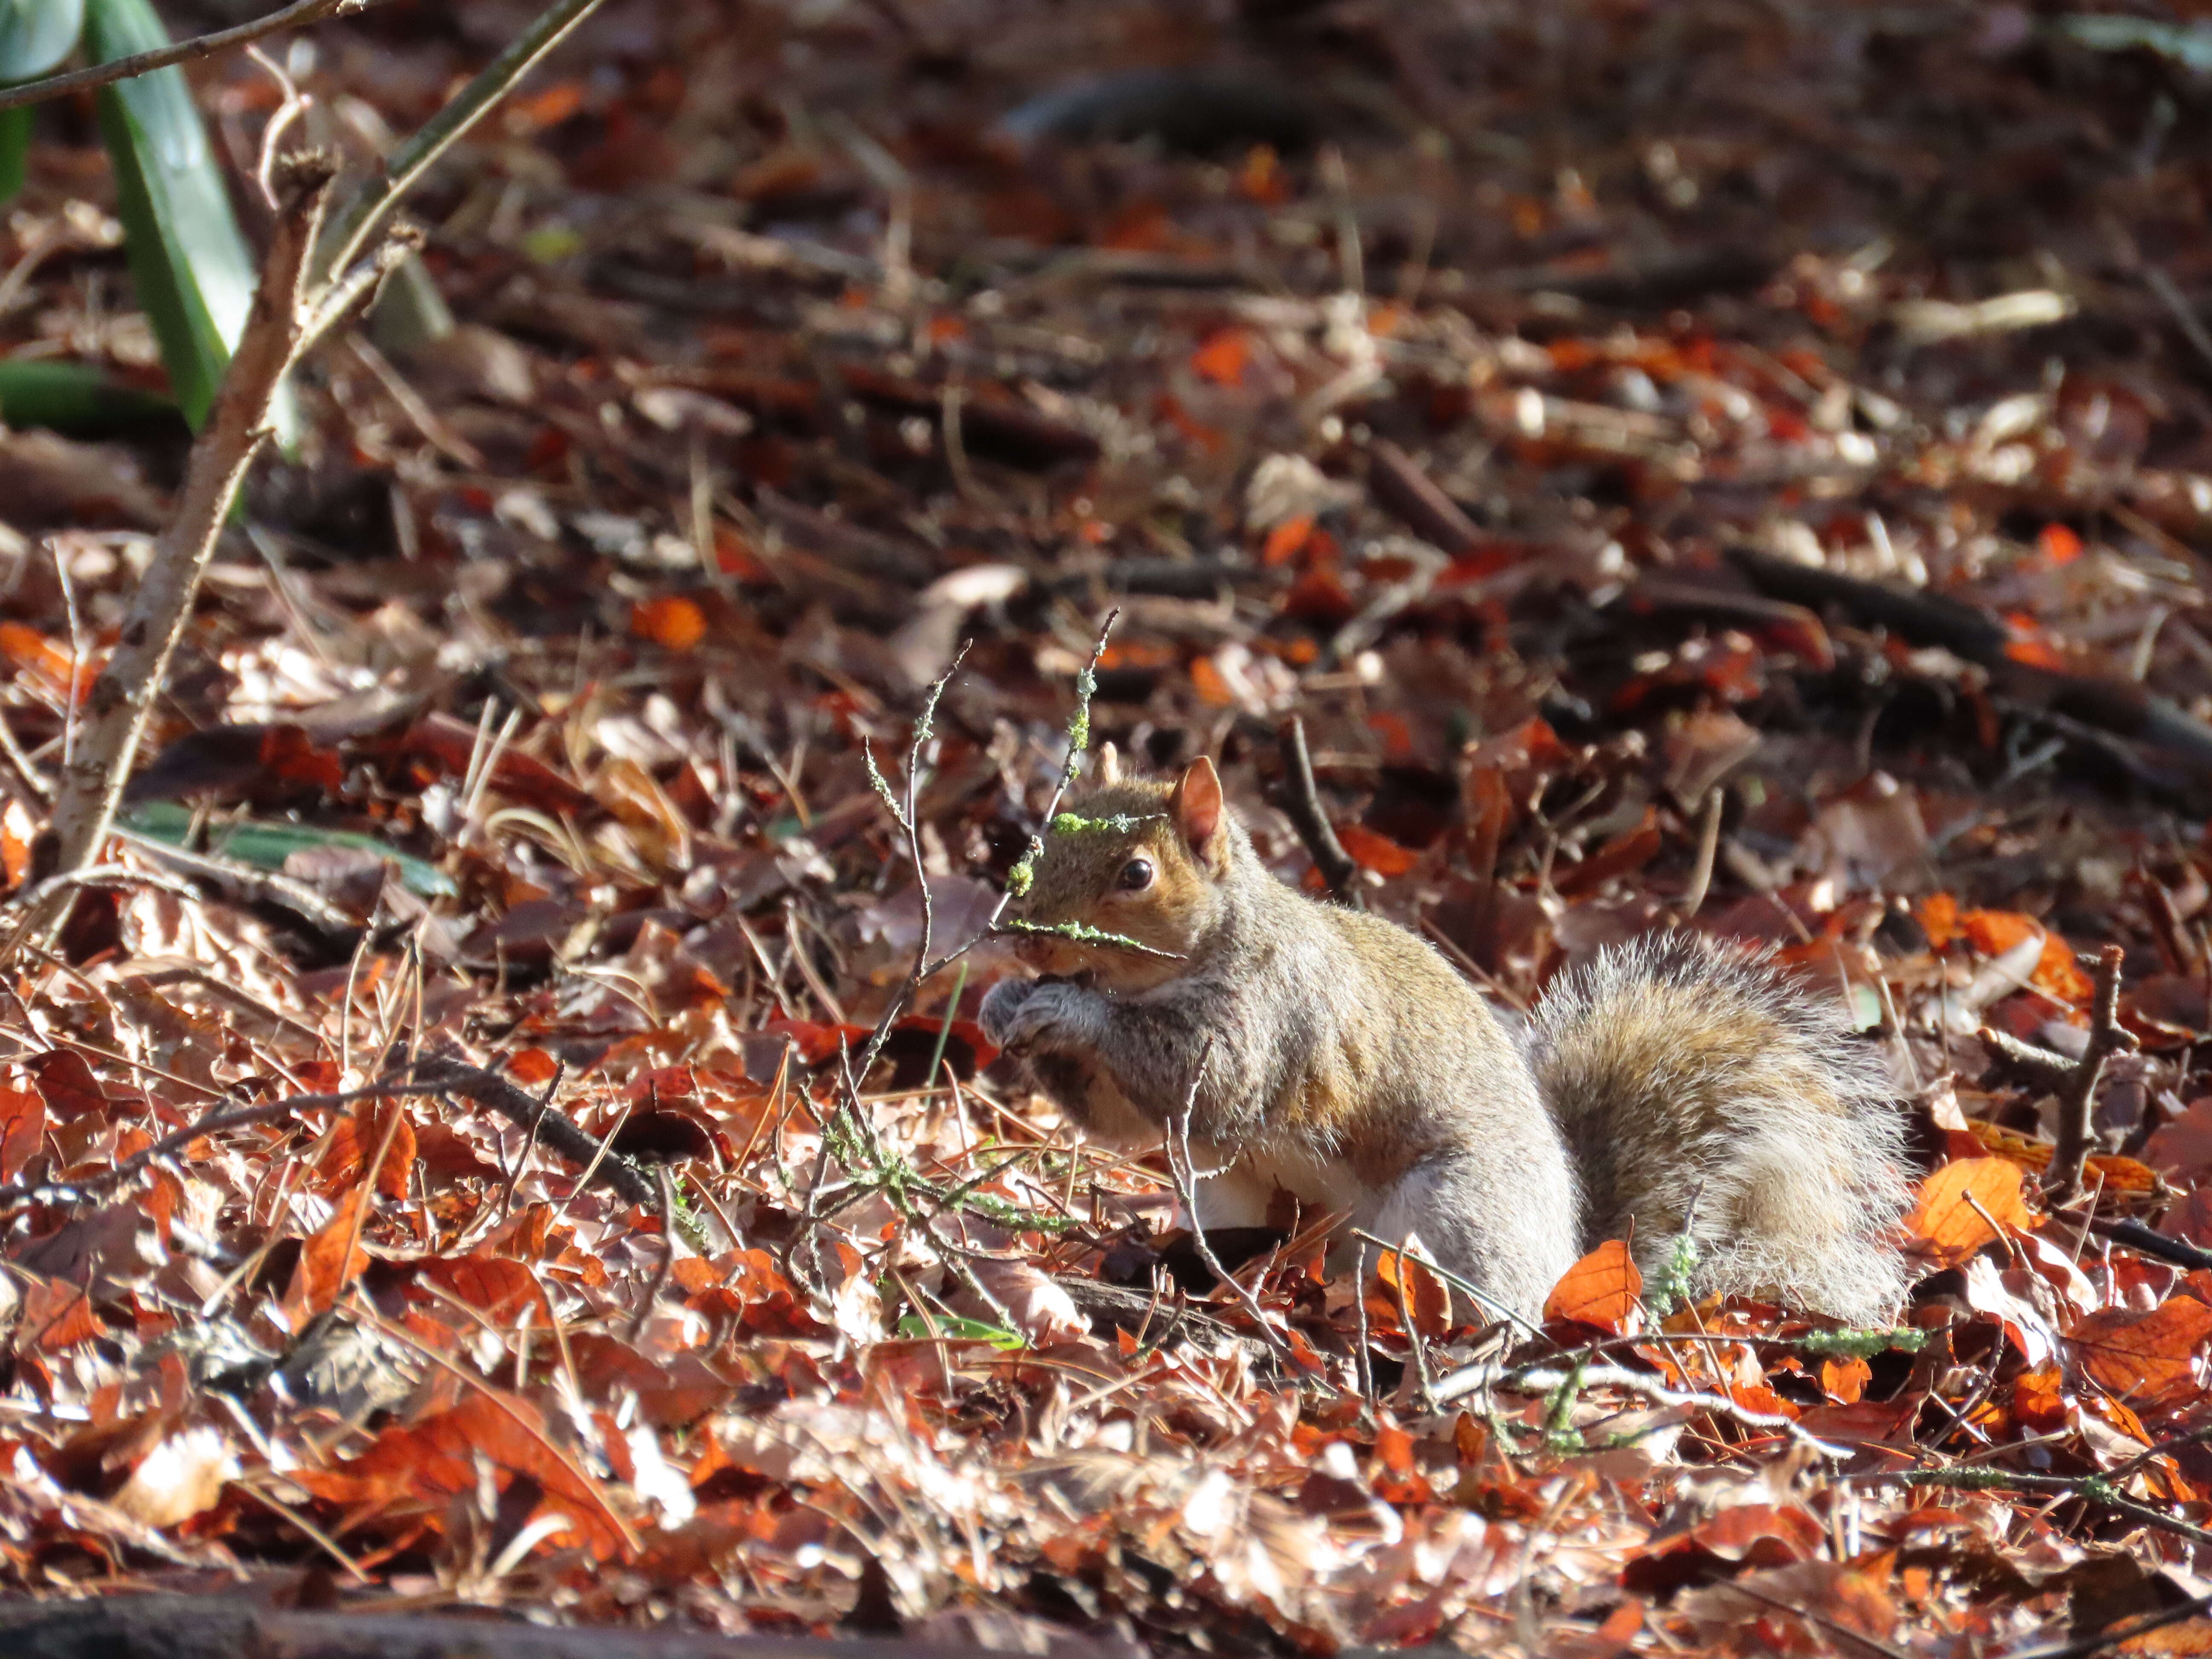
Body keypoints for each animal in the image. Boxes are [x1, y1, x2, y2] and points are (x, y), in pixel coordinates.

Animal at [978, 761, 1911, 1336]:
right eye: (1045, 838)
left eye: (1135, 874)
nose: (1019, 938)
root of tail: (1570, 1261)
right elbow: (1119, 1120)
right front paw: (1002, 1004)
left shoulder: (1274, 1017)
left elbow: (1201, 1085)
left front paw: (1065, 1006)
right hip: (1228, 1195)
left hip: (1453, 1211)